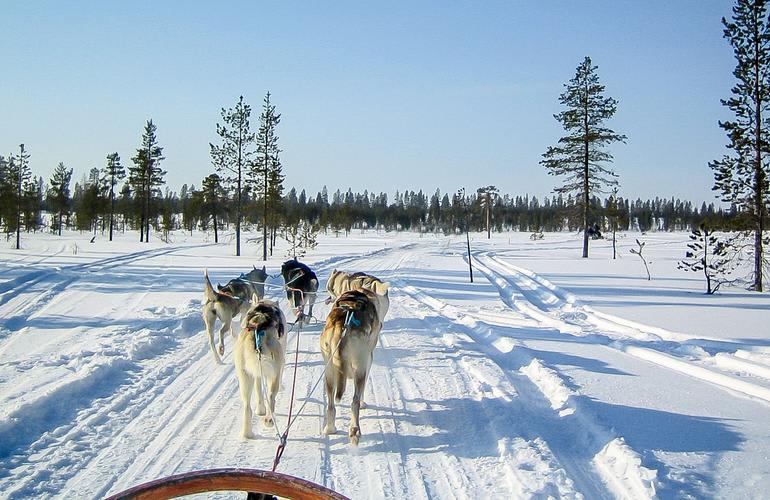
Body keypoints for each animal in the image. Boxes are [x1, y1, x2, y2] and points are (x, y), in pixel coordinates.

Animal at [232, 298, 286, 440]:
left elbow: (258, 390)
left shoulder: (256, 372)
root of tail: (258, 328)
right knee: (271, 397)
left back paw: (247, 433)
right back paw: (269, 420)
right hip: (274, 373)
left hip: (245, 376)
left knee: (247, 407)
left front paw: (260, 408)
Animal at [318, 288, 384, 448]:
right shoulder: (368, 361)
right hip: (360, 368)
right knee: (354, 402)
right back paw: (355, 431)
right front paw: (363, 403)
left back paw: (330, 429)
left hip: (329, 372)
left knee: (331, 405)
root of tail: (343, 326)